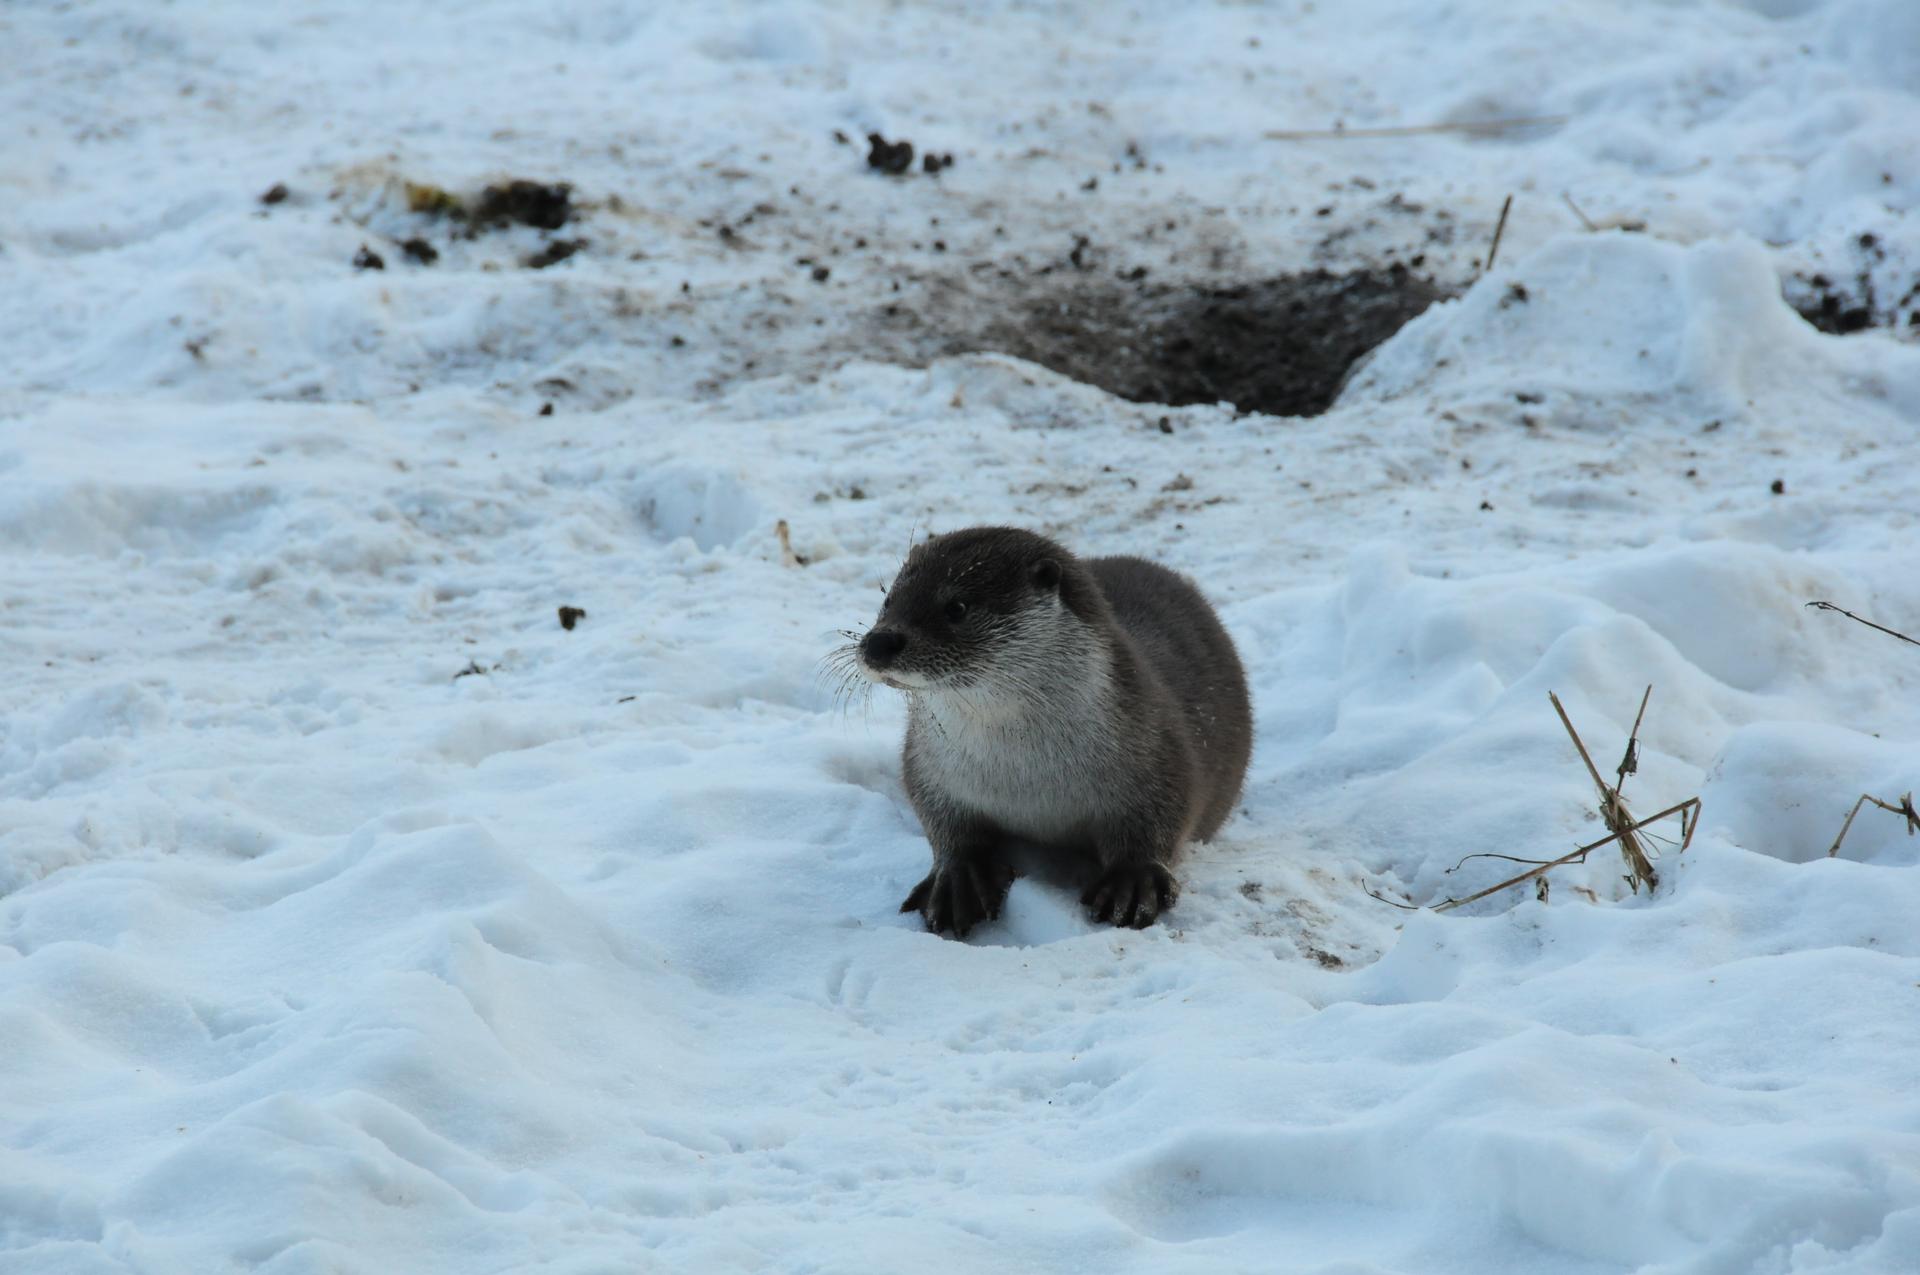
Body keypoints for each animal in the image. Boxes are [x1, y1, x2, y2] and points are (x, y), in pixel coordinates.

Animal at [852, 526, 1244, 937]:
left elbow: (1163, 817)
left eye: (957, 607)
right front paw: (961, 878)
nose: (879, 642)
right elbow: (941, 820)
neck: (1029, 780)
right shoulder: (928, 767)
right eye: (888, 599)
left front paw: (1131, 884)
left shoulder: (1158, 749)